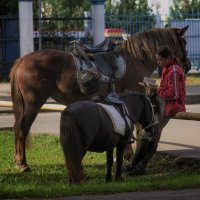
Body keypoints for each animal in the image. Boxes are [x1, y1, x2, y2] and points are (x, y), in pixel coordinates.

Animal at [9, 25, 191, 172]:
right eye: (184, 41)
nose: (188, 65)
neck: (137, 58)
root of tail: (22, 60)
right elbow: (133, 127)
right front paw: (128, 157)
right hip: (33, 103)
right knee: (21, 128)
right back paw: (22, 164)